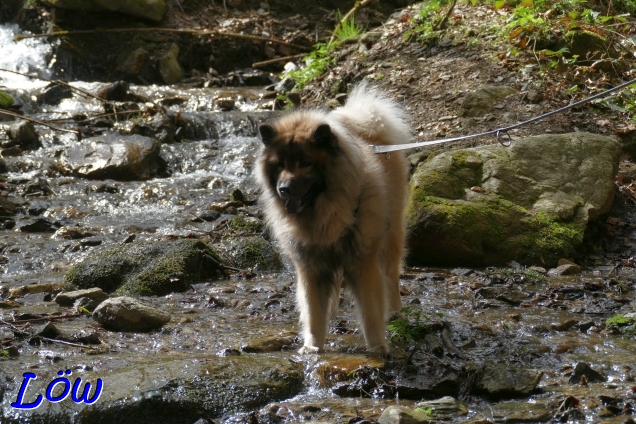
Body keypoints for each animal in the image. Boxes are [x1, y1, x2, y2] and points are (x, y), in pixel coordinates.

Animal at [255, 83, 410, 354]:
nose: (284, 189)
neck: (325, 214)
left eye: (305, 163)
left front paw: (378, 347)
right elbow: (313, 313)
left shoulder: (363, 264)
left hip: (390, 238)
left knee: (391, 276)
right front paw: (312, 348)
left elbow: (370, 311)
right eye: (280, 164)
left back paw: (395, 313)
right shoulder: (311, 268)